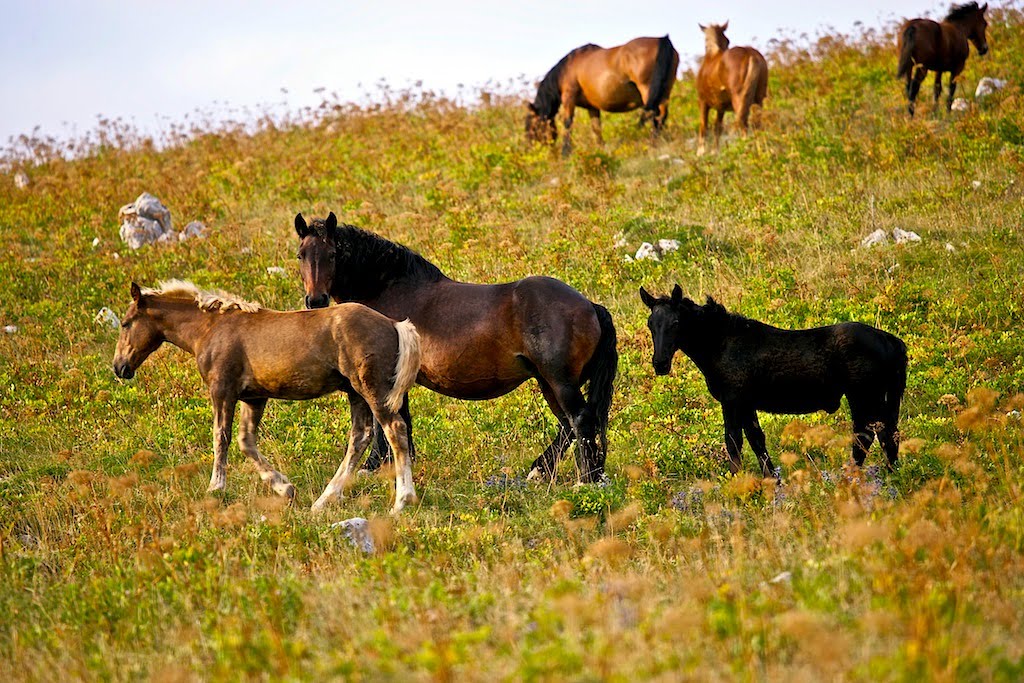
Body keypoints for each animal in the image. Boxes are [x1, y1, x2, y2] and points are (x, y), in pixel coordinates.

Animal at [109, 278, 419, 511]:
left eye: (125, 323)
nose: (119, 367)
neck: (210, 328)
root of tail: (394, 325)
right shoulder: (254, 398)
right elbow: (246, 442)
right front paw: (285, 488)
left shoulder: (222, 390)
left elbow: (221, 437)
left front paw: (215, 487)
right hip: (355, 393)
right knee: (361, 437)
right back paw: (324, 500)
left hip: (372, 390)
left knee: (394, 430)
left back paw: (402, 501)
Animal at [292, 210, 618, 483]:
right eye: (301, 255)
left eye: (334, 254)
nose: (316, 300)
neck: (388, 291)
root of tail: (590, 306)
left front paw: (374, 466)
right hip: (546, 380)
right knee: (567, 425)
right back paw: (542, 471)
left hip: (559, 381)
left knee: (579, 420)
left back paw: (586, 479)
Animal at [528, 36, 679, 156]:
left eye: (533, 127)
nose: (535, 150)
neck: (567, 69)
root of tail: (663, 40)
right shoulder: (592, 107)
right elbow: (596, 129)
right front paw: (600, 150)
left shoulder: (569, 97)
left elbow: (567, 123)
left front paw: (565, 152)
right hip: (664, 91)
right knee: (661, 115)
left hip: (647, 89)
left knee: (653, 114)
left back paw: (652, 143)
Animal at [638, 286, 905, 479]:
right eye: (651, 324)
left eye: (675, 323)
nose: (660, 364)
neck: (719, 344)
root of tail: (890, 340)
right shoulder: (746, 403)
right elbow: (757, 440)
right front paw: (771, 480)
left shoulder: (732, 399)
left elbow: (733, 441)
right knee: (885, 434)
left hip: (863, 395)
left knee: (868, 435)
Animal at [696, 22, 770, 154]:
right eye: (727, 40)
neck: (712, 55)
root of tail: (750, 54)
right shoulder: (721, 108)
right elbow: (717, 128)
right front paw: (715, 151)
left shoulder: (703, 102)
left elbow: (703, 126)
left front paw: (701, 153)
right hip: (759, 99)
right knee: (757, 123)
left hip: (739, 100)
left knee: (743, 124)